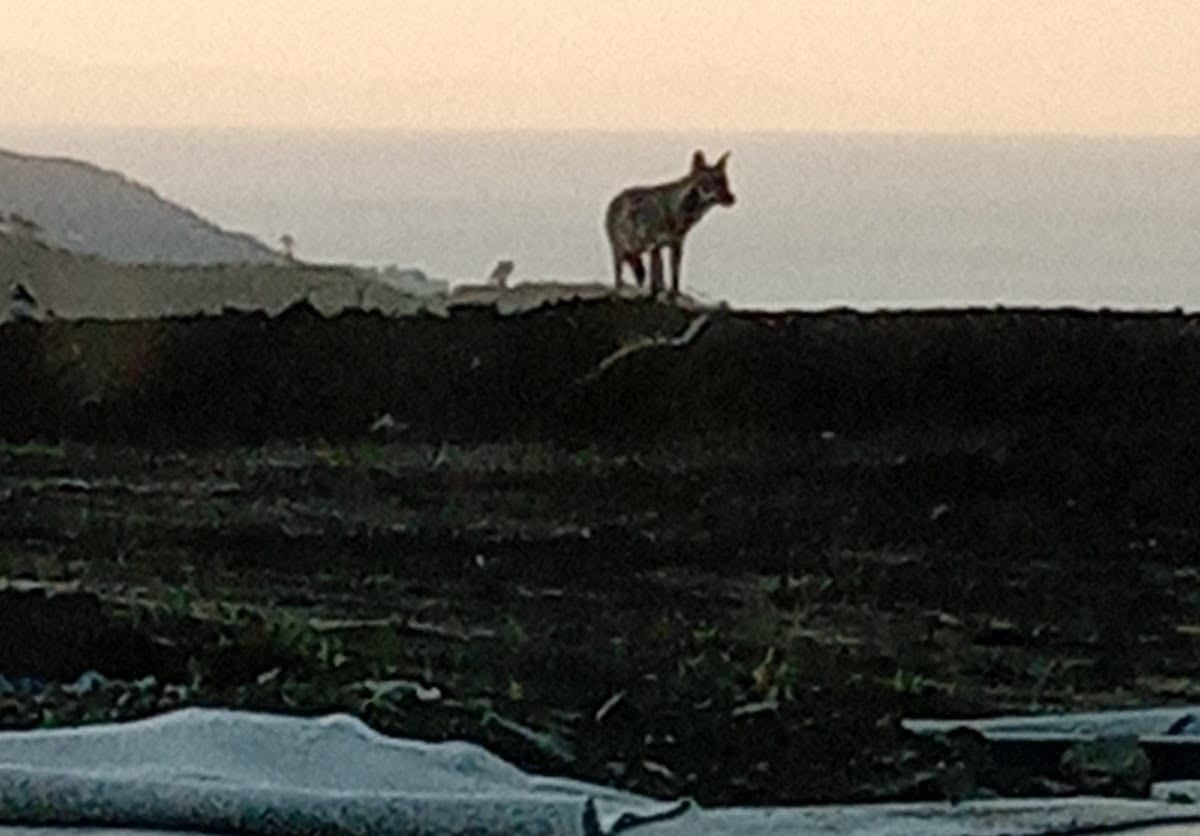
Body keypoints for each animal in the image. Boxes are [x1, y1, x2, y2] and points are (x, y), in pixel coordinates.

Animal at [604, 149, 734, 296]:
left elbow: (671, 277)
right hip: (624, 251)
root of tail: (615, 201)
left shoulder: (673, 245)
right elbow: (660, 280)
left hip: (636, 250)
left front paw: (671, 293)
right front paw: (662, 294)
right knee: (620, 276)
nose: (732, 198)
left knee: (634, 273)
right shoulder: (656, 246)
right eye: (710, 183)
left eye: (725, 182)